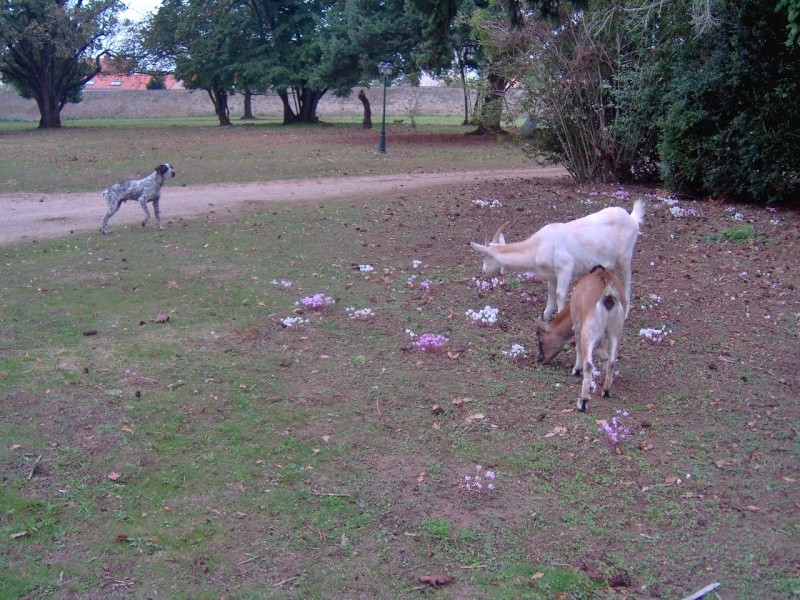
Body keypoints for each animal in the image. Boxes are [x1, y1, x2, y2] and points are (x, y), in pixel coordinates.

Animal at [468, 199, 644, 322]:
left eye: (487, 256)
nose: (484, 270)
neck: (538, 246)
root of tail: (632, 218)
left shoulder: (565, 267)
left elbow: (560, 293)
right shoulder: (552, 274)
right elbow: (551, 291)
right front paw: (545, 315)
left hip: (625, 255)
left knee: (628, 278)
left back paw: (625, 312)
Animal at [536, 268, 628, 412]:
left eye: (539, 337)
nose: (540, 359)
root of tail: (608, 297)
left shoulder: (578, 326)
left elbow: (578, 347)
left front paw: (576, 370)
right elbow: (603, 353)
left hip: (588, 333)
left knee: (588, 363)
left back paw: (582, 402)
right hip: (616, 331)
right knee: (613, 360)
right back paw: (606, 391)